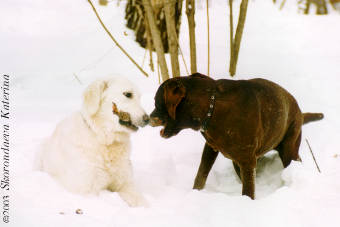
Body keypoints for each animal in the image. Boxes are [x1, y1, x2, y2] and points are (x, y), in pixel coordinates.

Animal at [35, 77, 149, 207]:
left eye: (139, 97)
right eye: (128, 94)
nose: (148, 119)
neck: (104, 139)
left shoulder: (125, 184)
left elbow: (141, 201)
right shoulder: (86, 190)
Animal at [150, 72, 322, 199]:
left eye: (156, 102)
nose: (149, 117)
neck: (212, 108)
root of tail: (298, 109)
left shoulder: (247, 161)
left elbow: (248, 192)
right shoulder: (211, 149)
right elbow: (200, 176)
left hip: (289, 149)